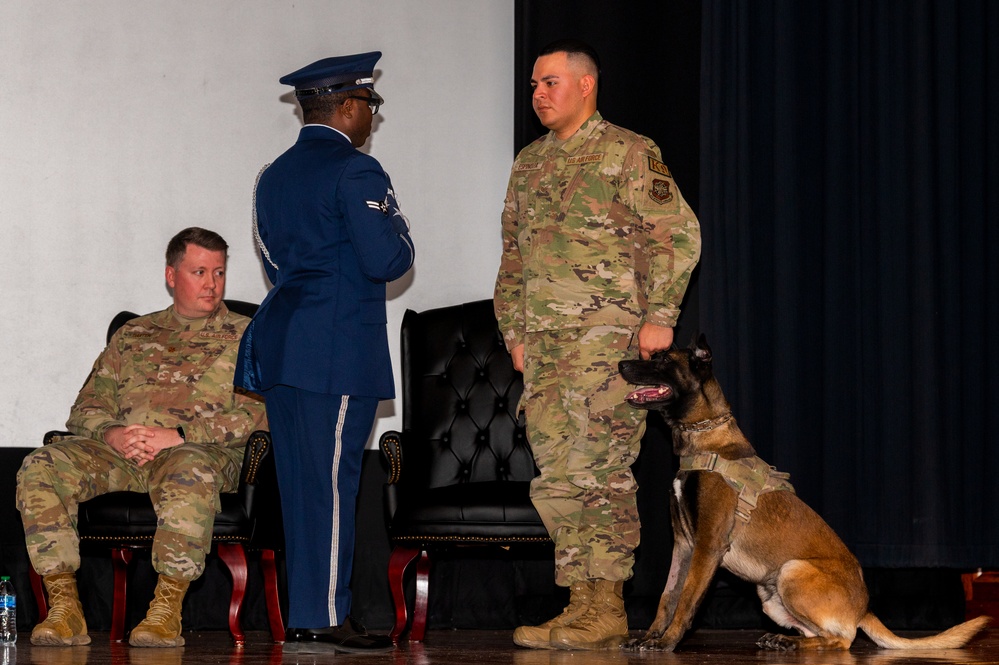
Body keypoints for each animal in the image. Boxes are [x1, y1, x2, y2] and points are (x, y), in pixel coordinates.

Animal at [616, 334, 992, 652]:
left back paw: (791, 643)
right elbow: (667, 596)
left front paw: (667, 642)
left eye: (664, 360)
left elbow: (686, 599)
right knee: (824, 634)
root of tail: (864, 609)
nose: (621, 363)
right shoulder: (683, 544)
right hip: (770, 596)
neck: (705, 438)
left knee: (843, 640)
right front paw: (650, 637)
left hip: (792, 570)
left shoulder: (707, 546)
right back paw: (782, 640)